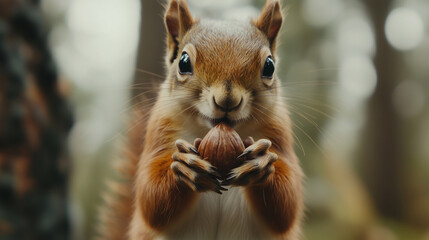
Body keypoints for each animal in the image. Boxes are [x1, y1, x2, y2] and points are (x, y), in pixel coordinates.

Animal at [98, 0, 302, 240]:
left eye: (269, 66)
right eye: (183, 62)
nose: (227, 100)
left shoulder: (278, 134)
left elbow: (287, 204)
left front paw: (259, 163)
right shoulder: (160, 130)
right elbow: (151, 198)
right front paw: (185, 165)